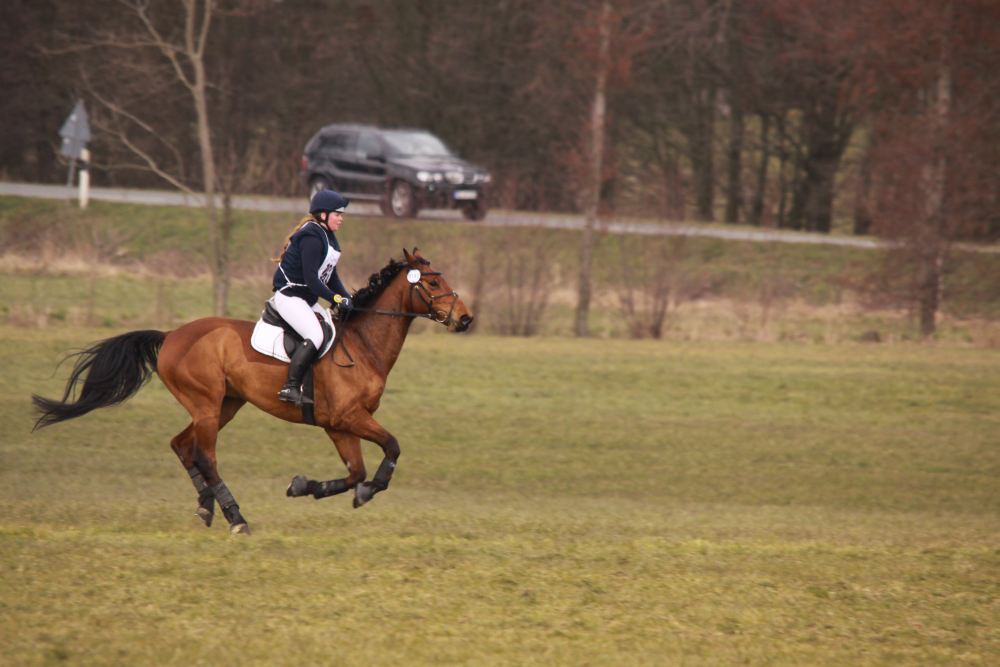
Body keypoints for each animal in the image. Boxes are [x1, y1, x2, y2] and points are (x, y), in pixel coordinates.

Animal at [29, 248, 470, 536]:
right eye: (433, 282)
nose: (465, 319)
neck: (362, 345)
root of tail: (171, 335)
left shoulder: (339, 426)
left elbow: (354, 472)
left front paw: (308, 487)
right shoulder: (349, 418)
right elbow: (391, 447)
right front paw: (365, 491)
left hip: (224, 405)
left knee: (182, 445)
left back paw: (205, 508)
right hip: (207, 405)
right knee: (204, 456)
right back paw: (235, 517)